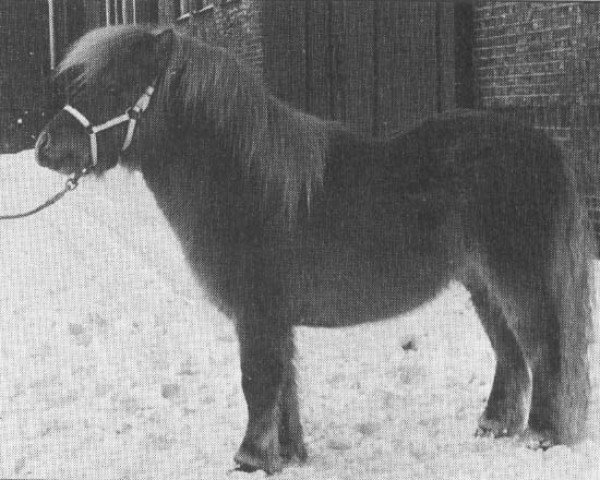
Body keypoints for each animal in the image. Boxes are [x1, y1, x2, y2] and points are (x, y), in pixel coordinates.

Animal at [35, 25, 592, 472]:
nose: (45, 149)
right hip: (482, 284)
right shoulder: (273, 318)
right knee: (511, 352)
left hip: (518, 278)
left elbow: (259, 381)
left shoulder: (258, 313)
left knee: (545, 350)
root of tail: (546, 147)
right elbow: (284, 385)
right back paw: (495, 426)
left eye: (113, 87)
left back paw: (541, 438)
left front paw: (249, 460)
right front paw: (287, 456)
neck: (247, 183)